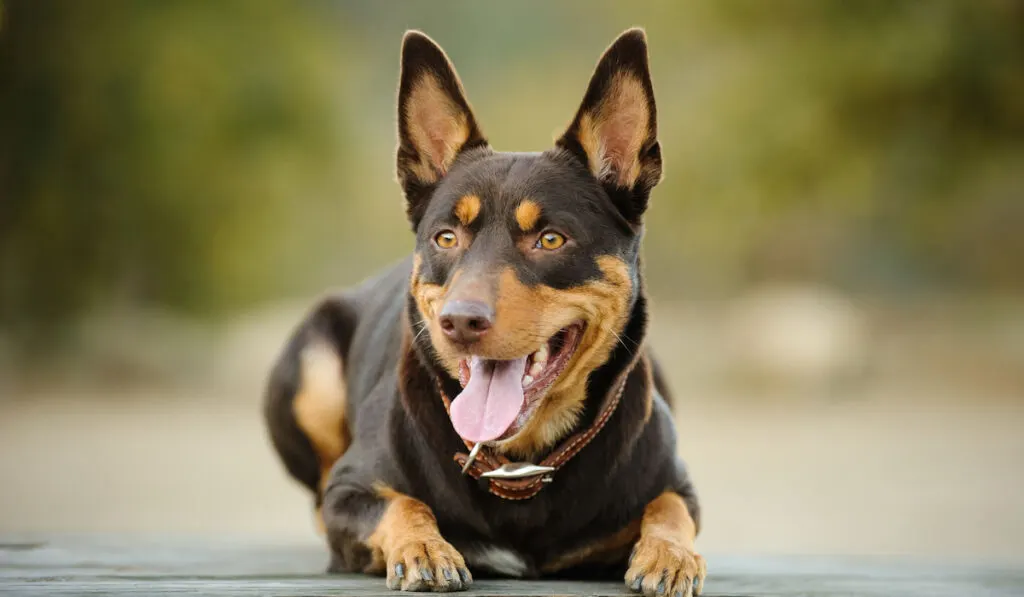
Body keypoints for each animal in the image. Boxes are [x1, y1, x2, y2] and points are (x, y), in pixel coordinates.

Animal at [264, 29, 708, 597]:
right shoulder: (350, 493)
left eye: (550, 239)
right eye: (446, 238)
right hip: (312, 369)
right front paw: (424, 548)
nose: (459, 321)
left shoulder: (678, 485)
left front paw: (669, 555)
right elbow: (402, 504)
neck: (519, 463)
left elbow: (670, 507)